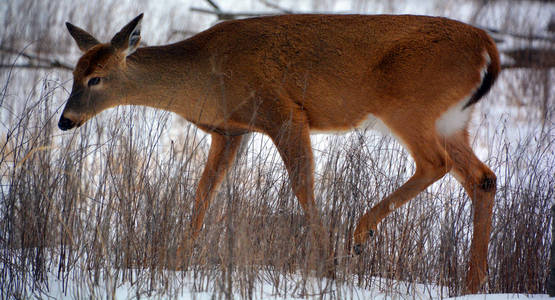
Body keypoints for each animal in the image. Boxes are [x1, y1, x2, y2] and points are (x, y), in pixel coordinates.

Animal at [59, 13, 500, 292]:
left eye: (96, 78)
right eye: (74, 73)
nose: (65, 120)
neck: (205, 78)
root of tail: (488, 48)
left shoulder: (282, 110)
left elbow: (303, 186)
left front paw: (327, 264)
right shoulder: (230, 131)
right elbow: (203, 194)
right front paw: (176, 262)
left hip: (410, 108)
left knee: (436, 163)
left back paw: (361, 234)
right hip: (451, 120)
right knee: (483, 178)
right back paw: (473, 282)